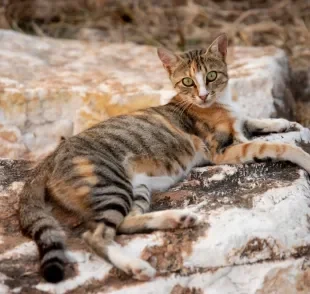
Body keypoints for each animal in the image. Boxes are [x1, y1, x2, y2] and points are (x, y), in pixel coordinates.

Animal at [19, 33, 310, 284]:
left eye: (212, 76)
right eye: (187, 82)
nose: (203, 95)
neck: (218, 104)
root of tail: (49, 158)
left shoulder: (238, 126)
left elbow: (252, 119)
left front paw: (281, 122)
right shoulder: (222, 150)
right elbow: (275, 146)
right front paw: (303, 155)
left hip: (137, 187)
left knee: (124, 223)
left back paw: (177, 219)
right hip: (109, 182)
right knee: (96, 235)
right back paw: (136, 266)